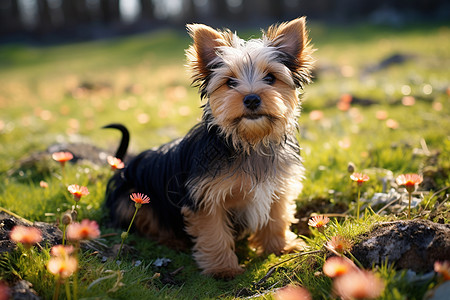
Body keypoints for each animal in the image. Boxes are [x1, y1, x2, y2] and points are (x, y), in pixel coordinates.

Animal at [107, 17, 314, 278]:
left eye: (270, 78)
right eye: (230, 82)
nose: (252, 99)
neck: (249, 141)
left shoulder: (277, 186)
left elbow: (276, 218)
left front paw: (281, 247)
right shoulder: (206, 197)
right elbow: (214, 232)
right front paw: (223, 268)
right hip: (134, 198)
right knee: (144, 222)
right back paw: (172, 240)